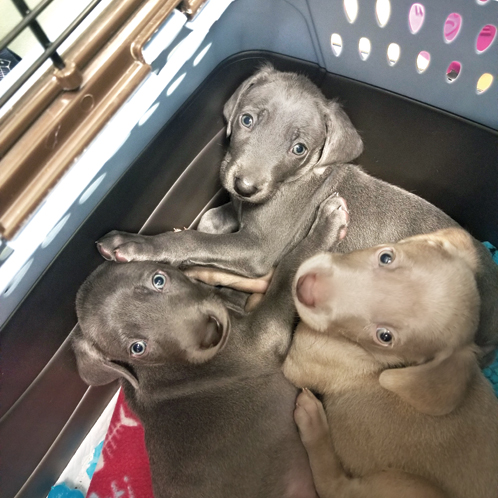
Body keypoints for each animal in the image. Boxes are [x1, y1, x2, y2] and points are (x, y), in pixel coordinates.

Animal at [75, 195, 350, 498]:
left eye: (159, 280)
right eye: (137, 347)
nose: (212, 334)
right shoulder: (264, 335)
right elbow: (287, 272)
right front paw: (326, 227)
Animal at [282, 229, 498, 498]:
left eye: (385, 336)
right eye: (386, 257)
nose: (306, 287)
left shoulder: (303, 358)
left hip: (406, 486)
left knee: (335, 487)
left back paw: (313, 424)